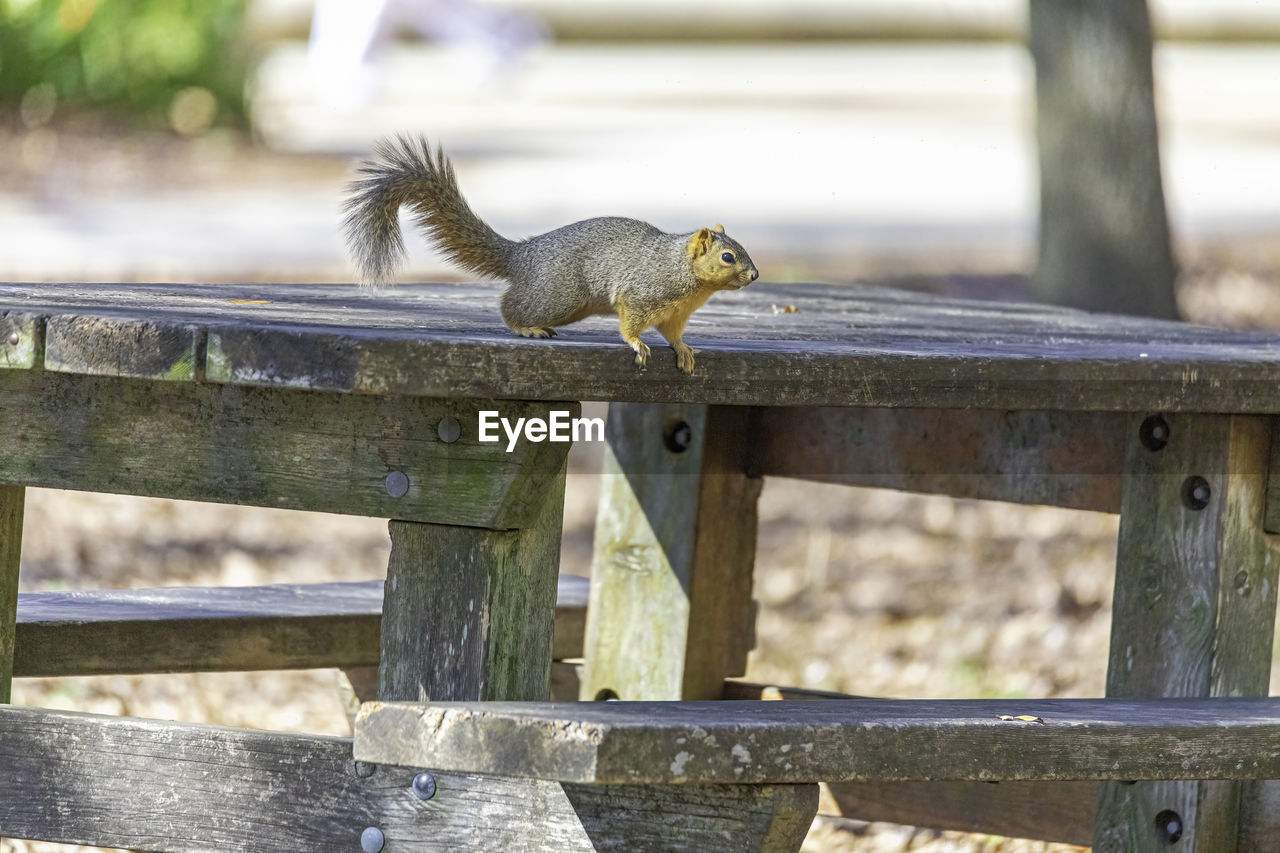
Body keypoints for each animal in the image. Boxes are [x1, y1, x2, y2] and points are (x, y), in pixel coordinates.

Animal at [343, 134, 757, 371]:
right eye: (727, 257)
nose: (754, 275)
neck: (684, 274)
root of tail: (522, 255)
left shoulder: (674, 314)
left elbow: (673, 334)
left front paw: (684, 350)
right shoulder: (642, 294)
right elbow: (631, 323)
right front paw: (637, 344)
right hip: (559, 294)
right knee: (510, 304)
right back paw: (526, 327)